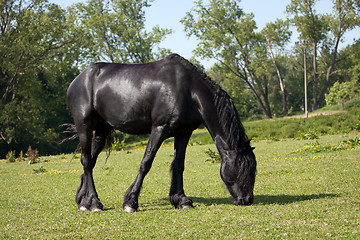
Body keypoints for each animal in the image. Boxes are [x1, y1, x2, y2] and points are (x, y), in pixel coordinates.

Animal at [67, 54, 256, 212]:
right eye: (242, 168)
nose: (247, 200)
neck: (188, 90)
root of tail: (78, 79)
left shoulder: (183, 133)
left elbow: (179, 165)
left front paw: (181, 200)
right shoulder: (159, 129)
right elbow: (146, 163)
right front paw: (130, 202)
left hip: (102, 130)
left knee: (90, 161)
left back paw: (83, 200)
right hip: (85, 126)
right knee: (86, 161)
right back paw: (94, 203)